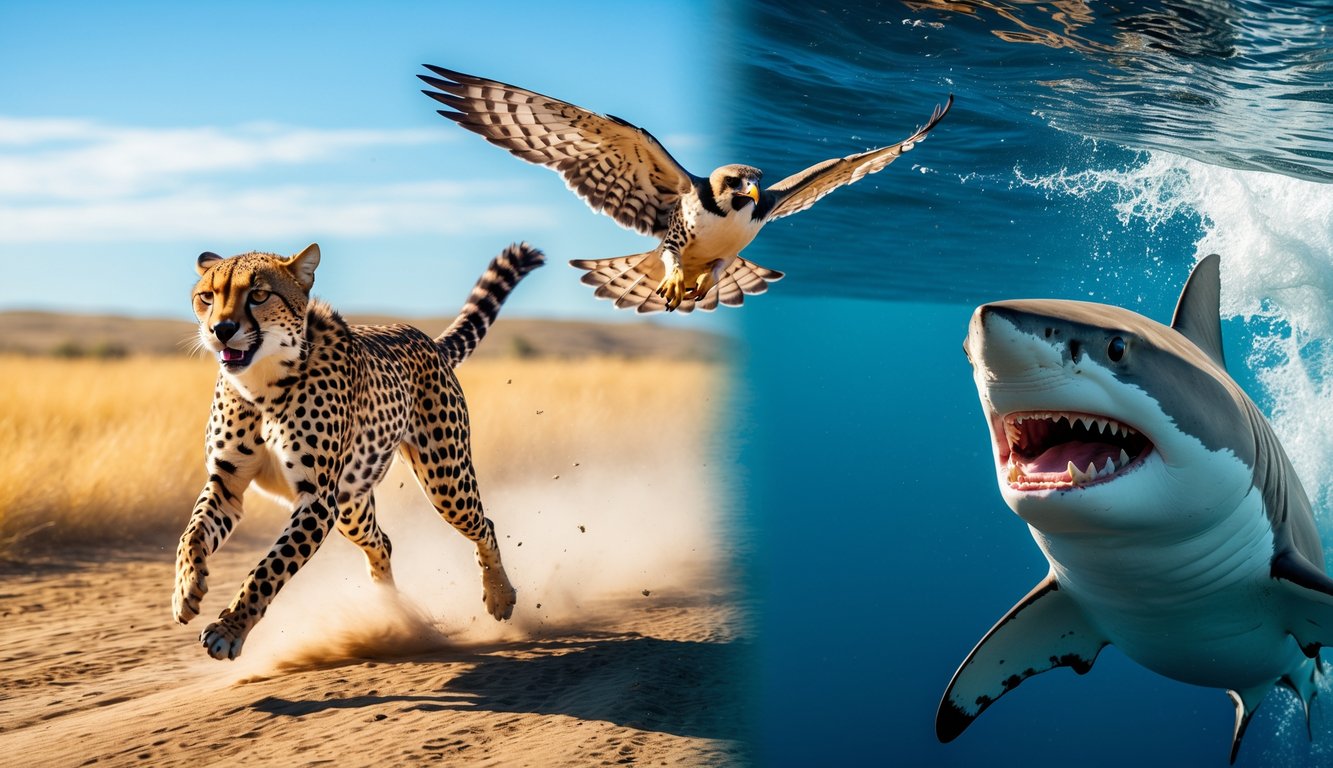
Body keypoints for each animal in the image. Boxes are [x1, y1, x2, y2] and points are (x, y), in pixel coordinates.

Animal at [172, 241, 543, 660]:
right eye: (207, 296)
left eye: (259, 295)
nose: (221, 330)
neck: (262, 383)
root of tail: (424, 338)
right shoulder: (227, 483)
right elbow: (192, 533)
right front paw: (186, 588)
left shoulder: (318, 500)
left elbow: (268, 570)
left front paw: (229, 629)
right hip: (353, 506)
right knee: (382, 542)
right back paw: (392, 615)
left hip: (444, 480)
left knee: (484, 525)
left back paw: (499, 596)